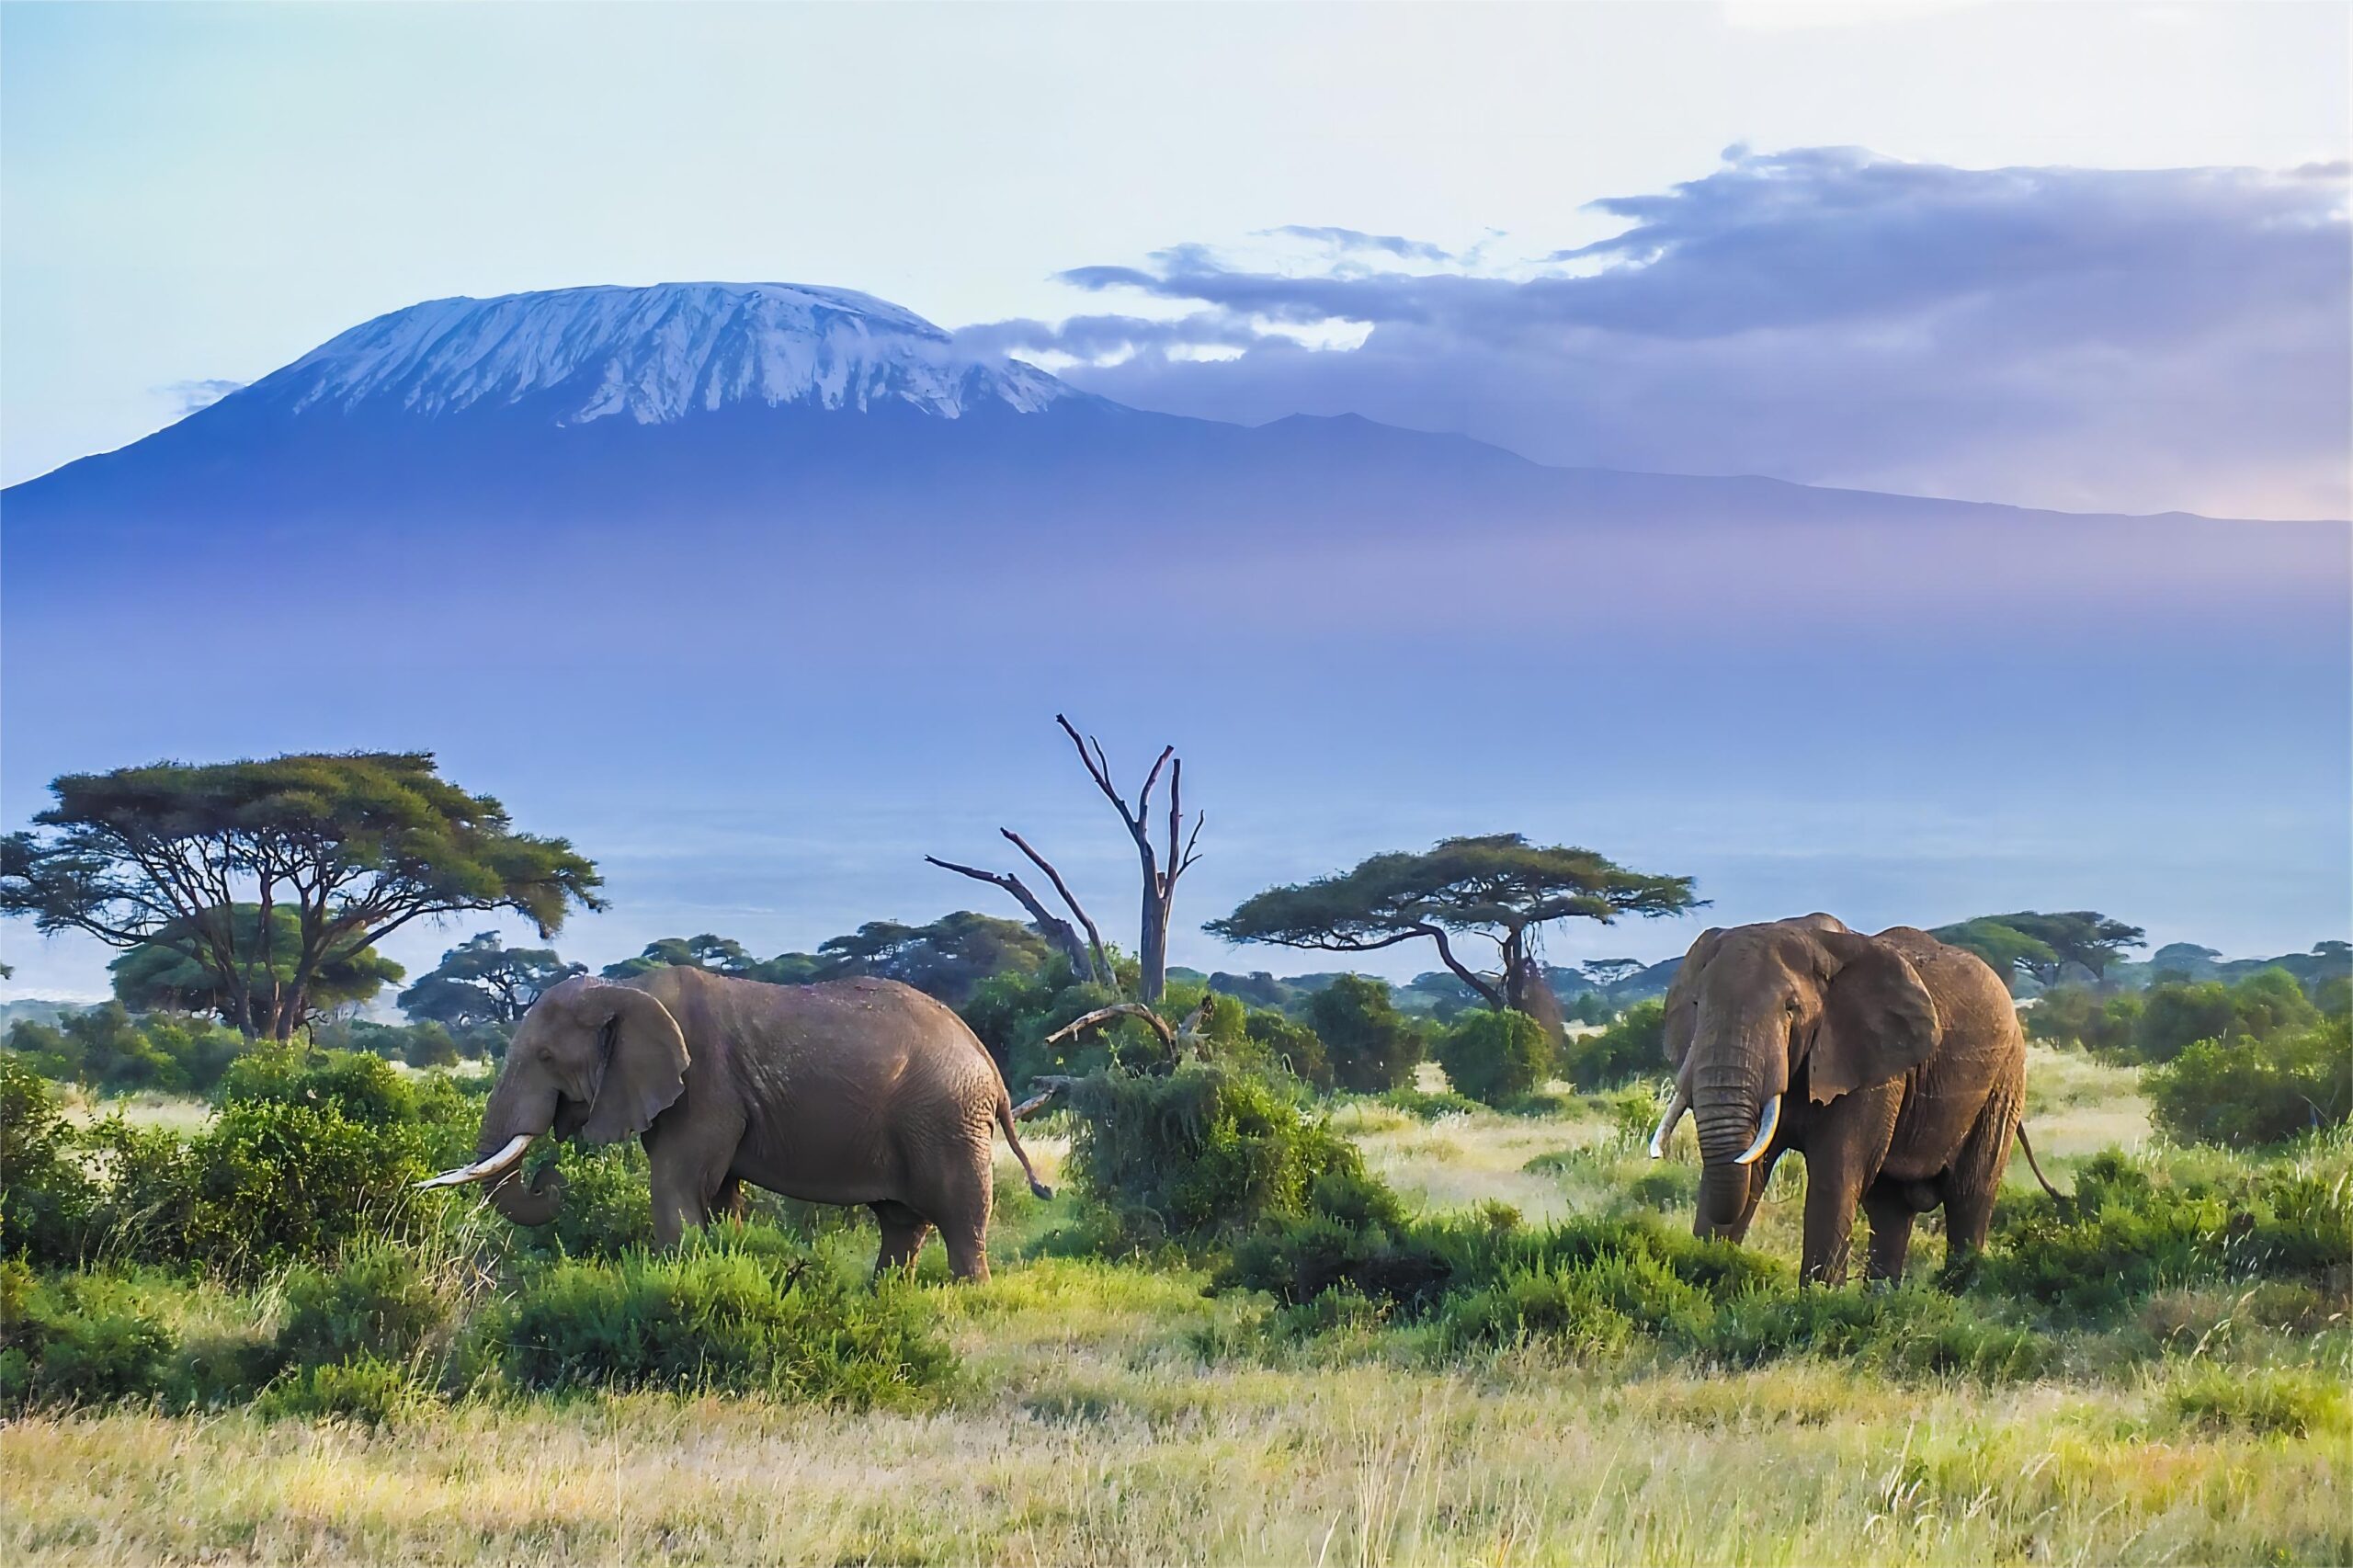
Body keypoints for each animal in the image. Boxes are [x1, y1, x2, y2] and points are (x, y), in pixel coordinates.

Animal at [416, 966, 1053, 1280]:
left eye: (546, 1057)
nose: (550, 1177)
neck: (627, 991)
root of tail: (991, 1067)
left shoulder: (704, 1085)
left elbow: (678, 1184)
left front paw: (675, 1279)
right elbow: (718, 1192)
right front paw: (723, 1260)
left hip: (946, 1117)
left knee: (959, 1214)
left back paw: (968, 1295)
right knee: (901, 1221)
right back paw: (885, 1296)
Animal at [1648, 914, 2056, 1285]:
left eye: (1791, 1008)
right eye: (1697, 1005)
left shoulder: (1871, 1064)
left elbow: (1836, 1174)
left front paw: (1816, 1301)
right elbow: (1752, 1167)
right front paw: (1705, 1278)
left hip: (2004, 1082)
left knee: (1969, 1196)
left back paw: (1956, 1293)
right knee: (1891, 1207)